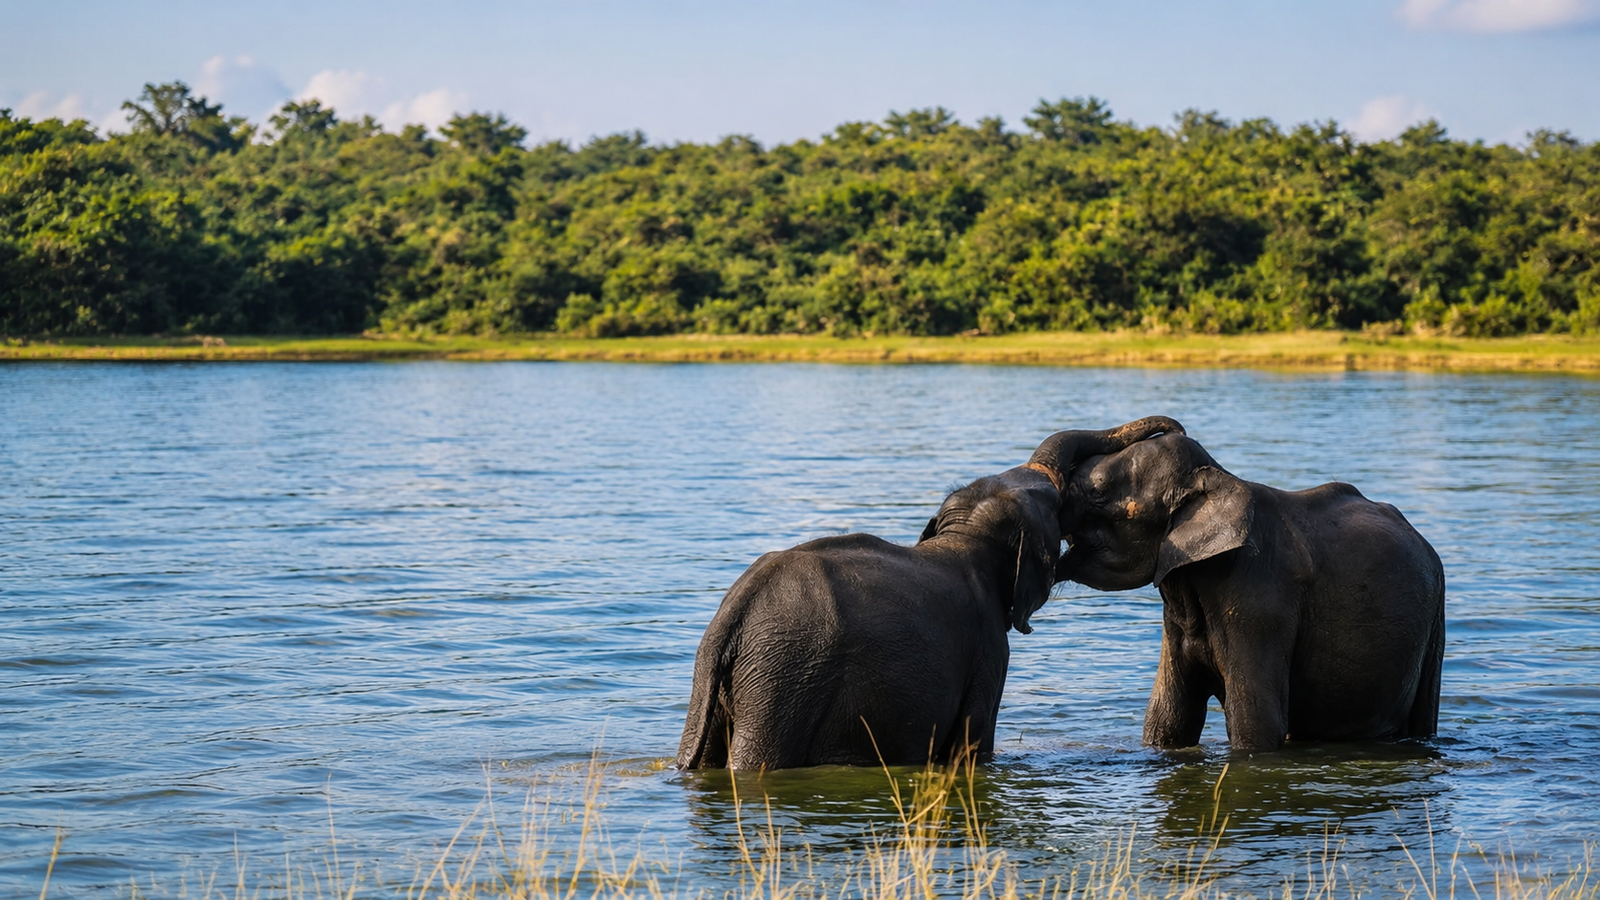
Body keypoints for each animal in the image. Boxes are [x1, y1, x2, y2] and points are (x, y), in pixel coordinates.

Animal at [676, 417, 1182, 770]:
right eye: (1056, 505)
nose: (1174, 430)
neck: (963, 537)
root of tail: (734, 614)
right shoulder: (987, 650)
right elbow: (974, 741)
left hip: (728, 685)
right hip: (783, 678)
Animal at [1031, 421, 1445, 752]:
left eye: (1098, 492)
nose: (1172, 425)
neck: (1218, 476)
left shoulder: (1259, 605)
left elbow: (1255, 723)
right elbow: (1168, 718)